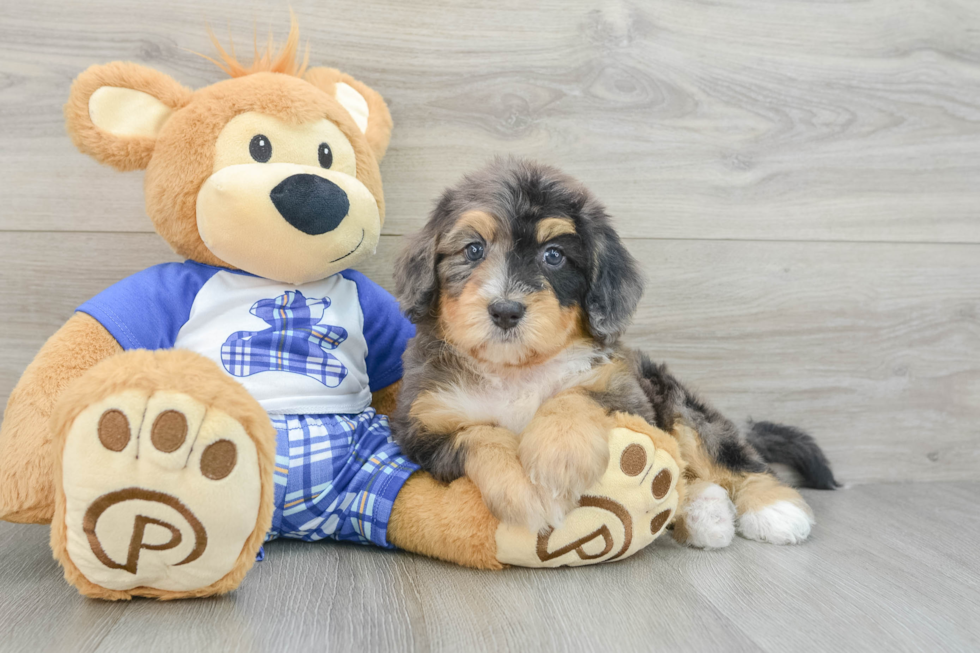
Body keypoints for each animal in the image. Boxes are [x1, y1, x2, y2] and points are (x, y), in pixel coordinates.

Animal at [390, 158, 836, 544]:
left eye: (554, 255)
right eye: (473, 249)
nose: (505, 310)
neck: (515, 370)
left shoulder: (624, 392)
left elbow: (573, 395)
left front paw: (558, 457)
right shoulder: (424, 427)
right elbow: (481, 433)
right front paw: (521, 488)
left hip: (673, 399)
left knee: (724, 453)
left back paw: (772, 507)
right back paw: (705, 512)